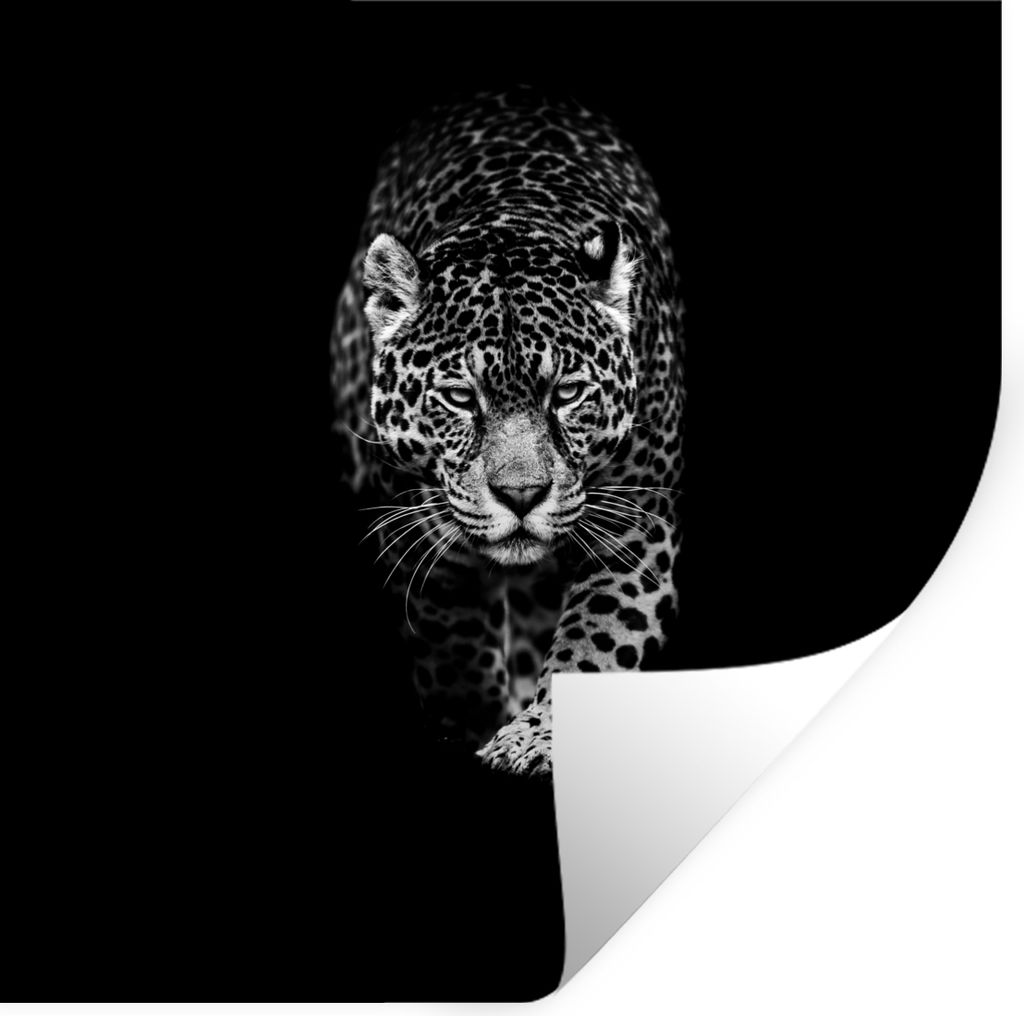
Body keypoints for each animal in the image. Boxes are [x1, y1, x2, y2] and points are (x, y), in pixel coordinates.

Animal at [330, 87, 685, 777]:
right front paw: (470, 727)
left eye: (566, 394)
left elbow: (596, 641)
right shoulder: (422, 541)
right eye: (460, 398)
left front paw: (534, 739)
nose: (522, 496)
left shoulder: (636, 527)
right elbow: (454, 651)